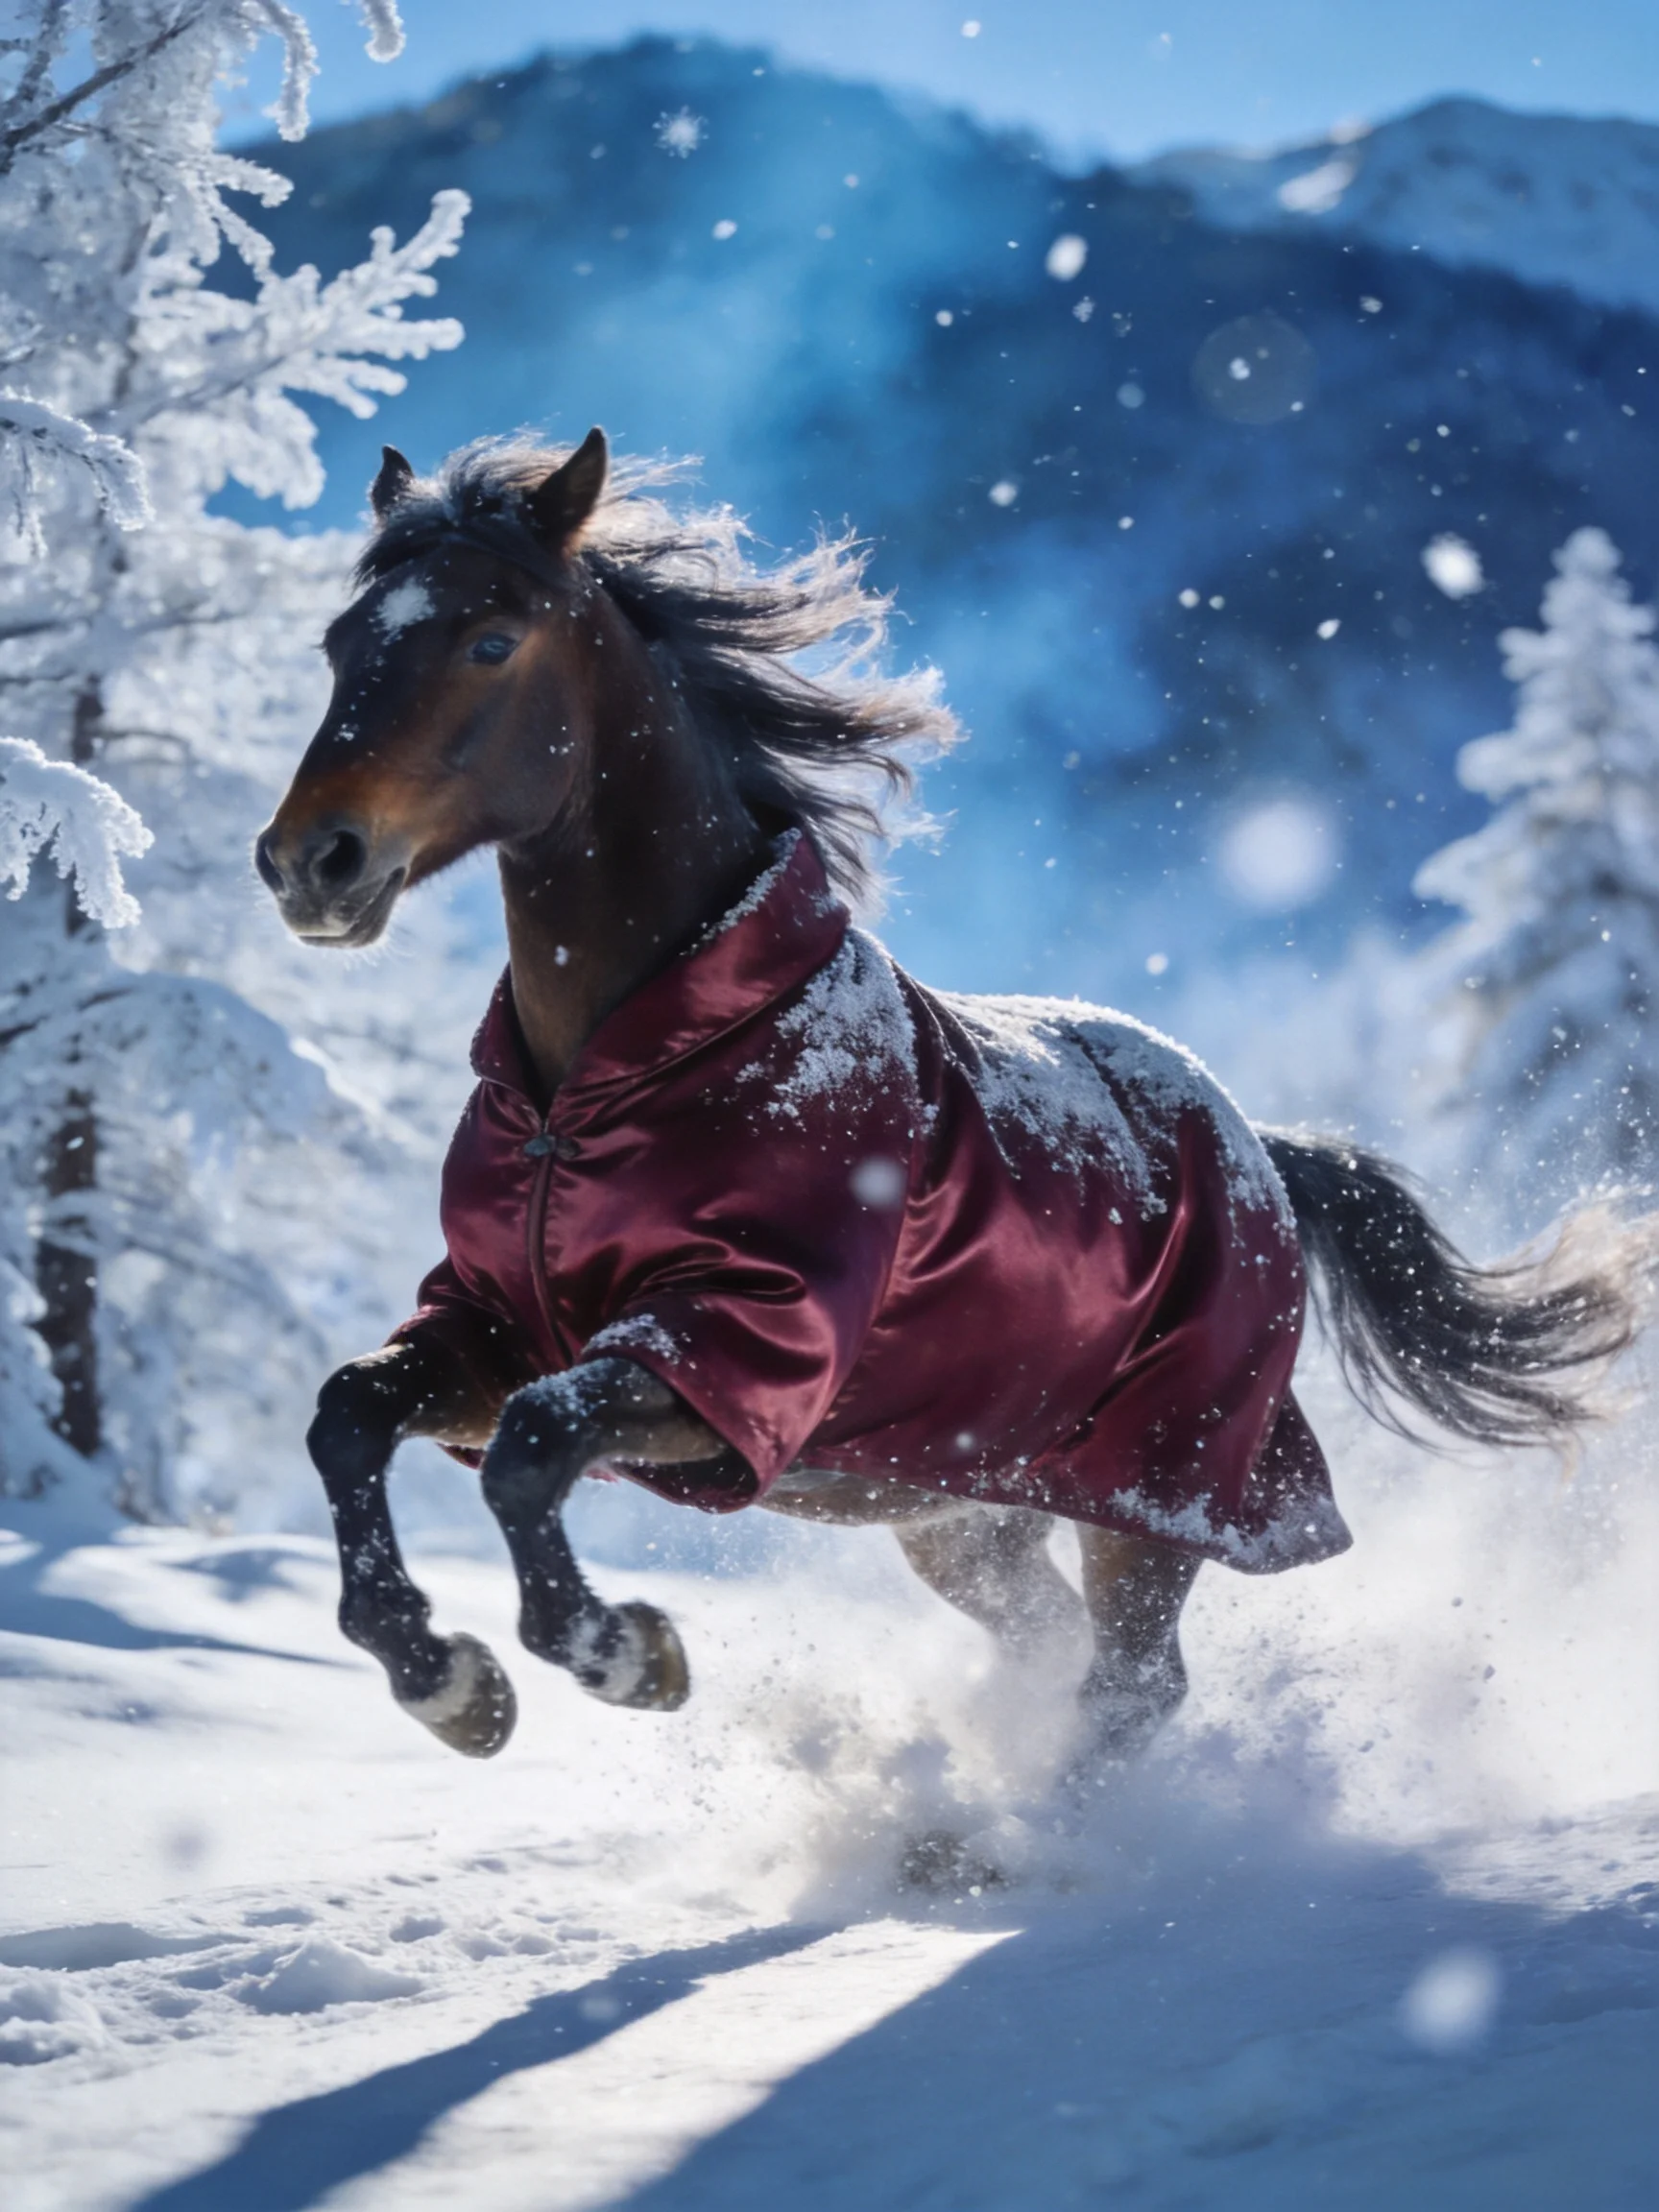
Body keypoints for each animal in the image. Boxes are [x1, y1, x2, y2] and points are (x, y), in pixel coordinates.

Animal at [256, 429, 1646, 1777]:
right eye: (338, 642)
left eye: (492, 640)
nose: (309, 862)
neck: (615, 1079)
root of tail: (1260, 1143)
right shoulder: (498, 1327)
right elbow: (350, 1415)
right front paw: (448, 1683)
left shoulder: (731, 1357)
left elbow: (532, 1448)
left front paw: (627, 1655)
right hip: (961, 1515)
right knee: (1056, 1646)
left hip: (1159, 1498)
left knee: (1134, 1683)